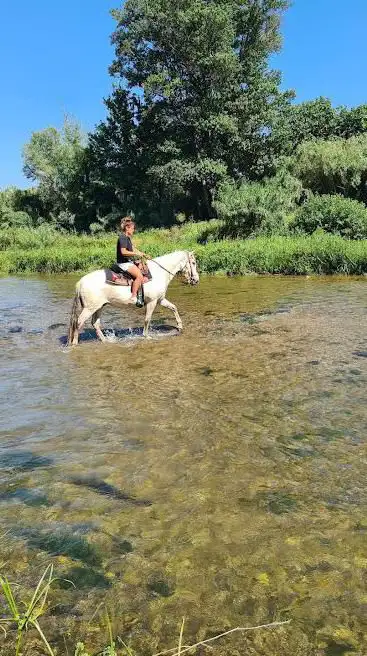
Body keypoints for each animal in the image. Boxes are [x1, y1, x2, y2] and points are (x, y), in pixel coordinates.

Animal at [67, 250, 200, 346]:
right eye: (193, 263)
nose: (196, 280)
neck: (159, 273)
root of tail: (80, 282)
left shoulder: (160, 299)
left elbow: (174, 308)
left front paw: (180, 326)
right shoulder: (152, 302)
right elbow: (147, 319)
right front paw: (146, 336)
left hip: (99, 306)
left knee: (95, 323)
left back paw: (105, 340)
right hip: (89, 308)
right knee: (79, 322)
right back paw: (74, 343)